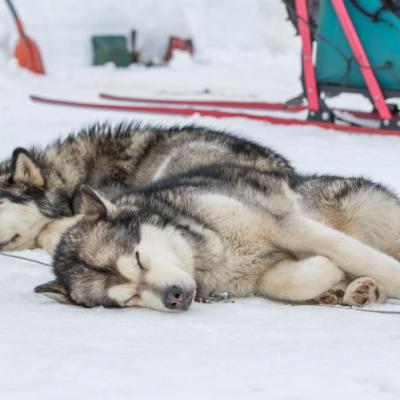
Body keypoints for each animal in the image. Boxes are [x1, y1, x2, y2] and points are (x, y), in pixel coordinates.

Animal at [36, 164, 400, 310]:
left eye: (139, 259)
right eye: (129, 298)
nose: (175, 297)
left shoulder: (284, 225)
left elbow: (354, 253)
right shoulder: (260, 274)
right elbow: (291, 281)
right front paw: (328, 273)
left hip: (361, 207)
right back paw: (356, 290)